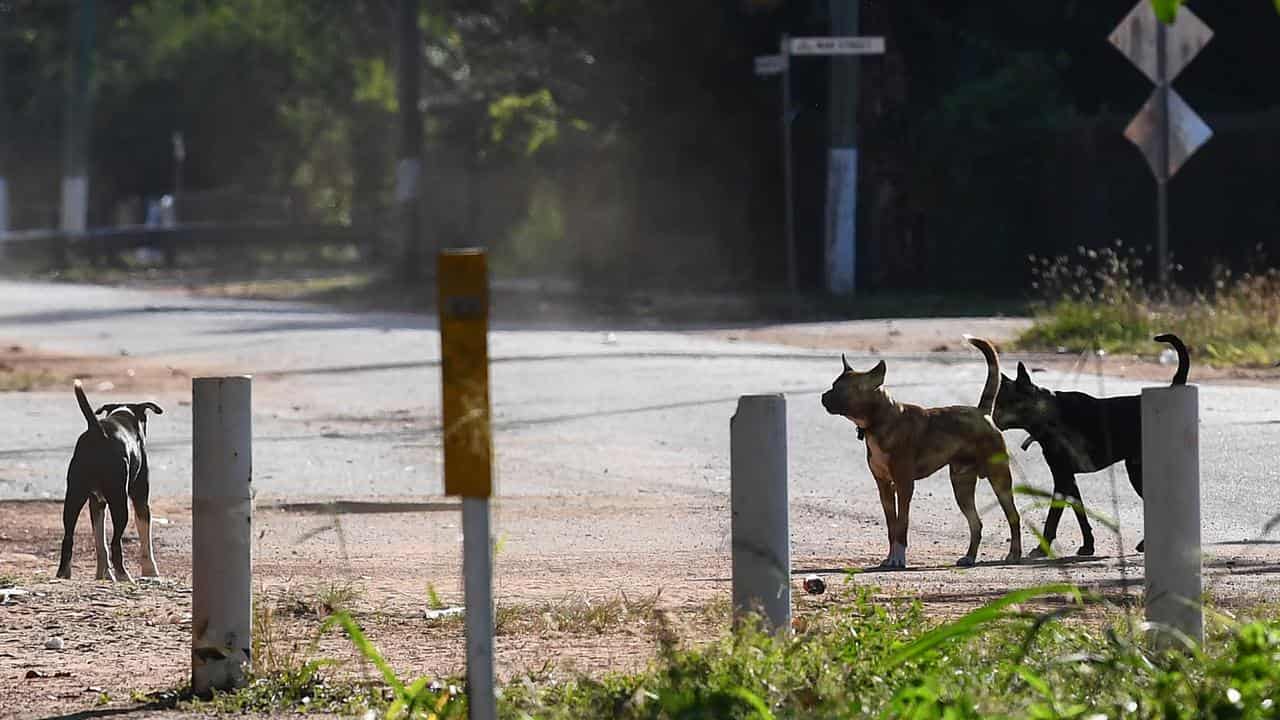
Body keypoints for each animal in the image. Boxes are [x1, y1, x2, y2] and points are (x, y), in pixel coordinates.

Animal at [56, 381, 165, 576]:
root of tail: (98, 433)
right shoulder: (141, 499)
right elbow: (145, 539)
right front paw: (151, 571)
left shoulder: (96, 503)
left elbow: (100, 543)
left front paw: (103, 575)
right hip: (120, 502)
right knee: (116, 542)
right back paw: (123, 575)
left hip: (73, 498)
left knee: (68, 537)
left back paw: (64, 573)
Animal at [824, 335, 1024, 566]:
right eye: (833, 385)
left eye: (841, 389)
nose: (823, 396)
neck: (880, 420)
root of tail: (982, 413)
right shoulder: (884, 487)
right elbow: (892, 527)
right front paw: (890, 558)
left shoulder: (904, 486)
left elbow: (902, 524)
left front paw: (898, 559)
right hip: (962, 486)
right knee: (976, 524)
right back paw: (970, 556)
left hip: (999, 479)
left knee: (1013, 516)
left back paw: (1014, 554)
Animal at [988, 333, 1187, 558]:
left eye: (1004, 402)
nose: (991, 416)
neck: (1048, 413)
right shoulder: (1068, 478)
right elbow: (1079, 512)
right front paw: (1088, 545)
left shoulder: (1062, 478)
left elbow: (1053, 517)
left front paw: (1042, 547)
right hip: (1136, 468)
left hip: (1138, 472)